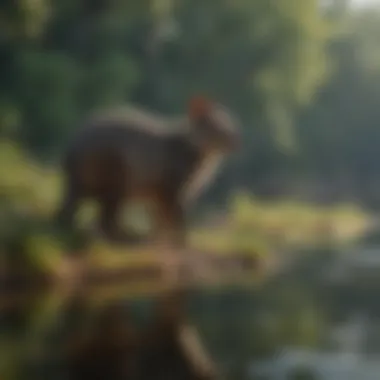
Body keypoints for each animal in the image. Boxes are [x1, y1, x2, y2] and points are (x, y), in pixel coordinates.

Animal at [54, 96, 239, 246]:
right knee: (104, 221)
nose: (236, 138)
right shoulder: (172, 190)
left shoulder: (158, 196)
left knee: (71, 216)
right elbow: (177, 220)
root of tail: (70, 152)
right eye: (218, 127)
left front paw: (162, 240)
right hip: (117, 182)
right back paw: (128, 238)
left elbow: (161, 222)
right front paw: (181, 242)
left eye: (231, 123)